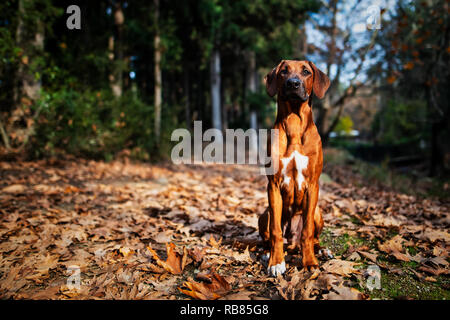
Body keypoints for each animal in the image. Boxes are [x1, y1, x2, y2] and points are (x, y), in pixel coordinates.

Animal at [258, 60, 332, 278]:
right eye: (284, 71)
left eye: (306, 72)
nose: (293, 83)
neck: (294, 124)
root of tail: (292, 242)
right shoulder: (273, 185)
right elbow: (275, 231)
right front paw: (276, 262)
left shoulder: (313, 185)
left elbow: (307, 232)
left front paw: (310, 262)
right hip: (264, 213)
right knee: (271, 236)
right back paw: (268, 252)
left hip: (317, 212)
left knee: (312, 238)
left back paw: (320, 250)